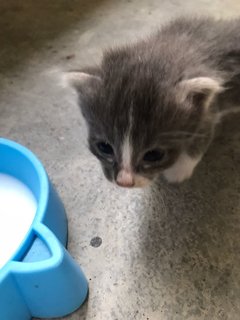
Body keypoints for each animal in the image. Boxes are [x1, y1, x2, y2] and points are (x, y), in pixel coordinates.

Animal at [64, 16, 240, 188]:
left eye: (153, 155)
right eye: (104, 147)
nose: (124, 182)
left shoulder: (210, 108)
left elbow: (202, 136)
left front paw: (179, 170)